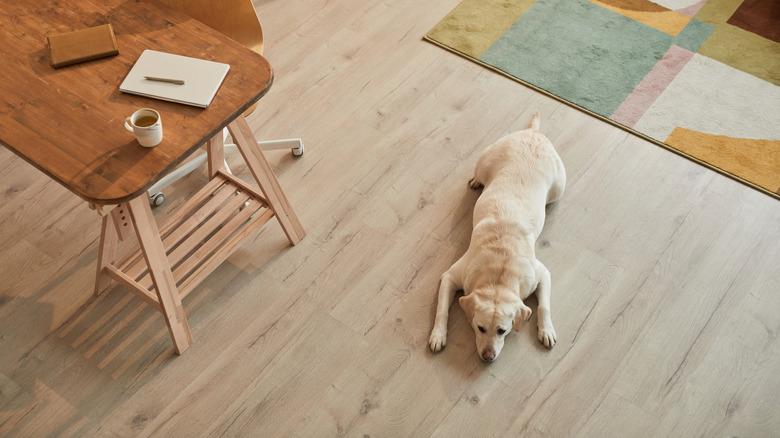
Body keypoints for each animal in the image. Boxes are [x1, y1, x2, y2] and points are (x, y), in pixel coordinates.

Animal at [430, 113, 564, 362]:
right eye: (480, 328)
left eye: (503, 330)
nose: (488, 356)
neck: (499, 272)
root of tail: (534, 132)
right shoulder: (450, 277)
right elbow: (442, 309)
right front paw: (438, 335)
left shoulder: (542, 274)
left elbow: (544, 306)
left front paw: (546, 330)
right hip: (484, 162)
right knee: (478, 174)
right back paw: (475, 181)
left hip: (559, 188)